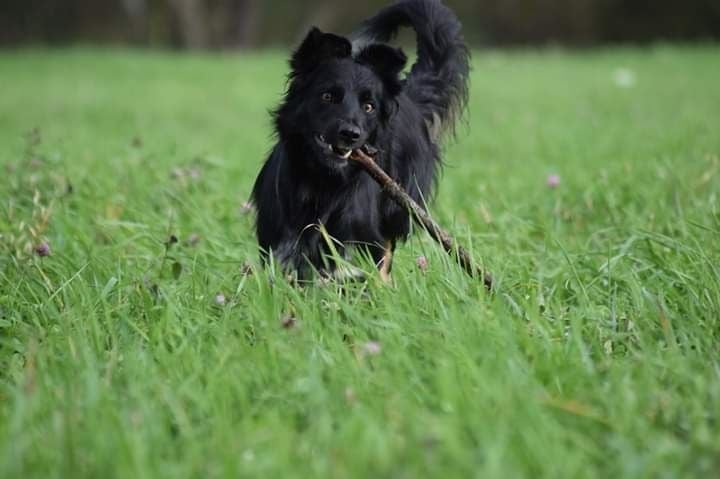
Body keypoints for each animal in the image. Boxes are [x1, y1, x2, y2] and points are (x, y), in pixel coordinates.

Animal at [250, 0, 470, 282]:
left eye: (368, 106)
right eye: (327, 96)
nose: (351, 134)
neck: (323, 183)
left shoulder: (360, 239)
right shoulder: (279, 242)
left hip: (396, 207)